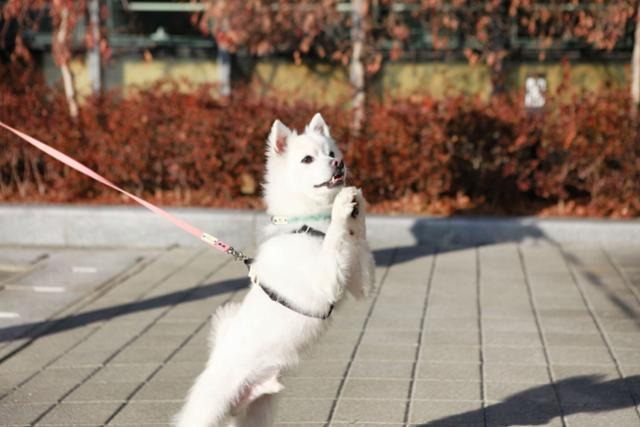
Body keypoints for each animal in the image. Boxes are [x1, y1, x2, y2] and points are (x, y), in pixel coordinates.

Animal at [172, 113, 378, 427]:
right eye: (308, 159)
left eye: (332, 153)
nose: (339, 164)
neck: (307, 224)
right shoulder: (325, 281)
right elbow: (334, 238)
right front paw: (342, 206)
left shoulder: (359, 282)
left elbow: (357, 238)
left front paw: (357, 203)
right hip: (209, 407)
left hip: (259, 412)